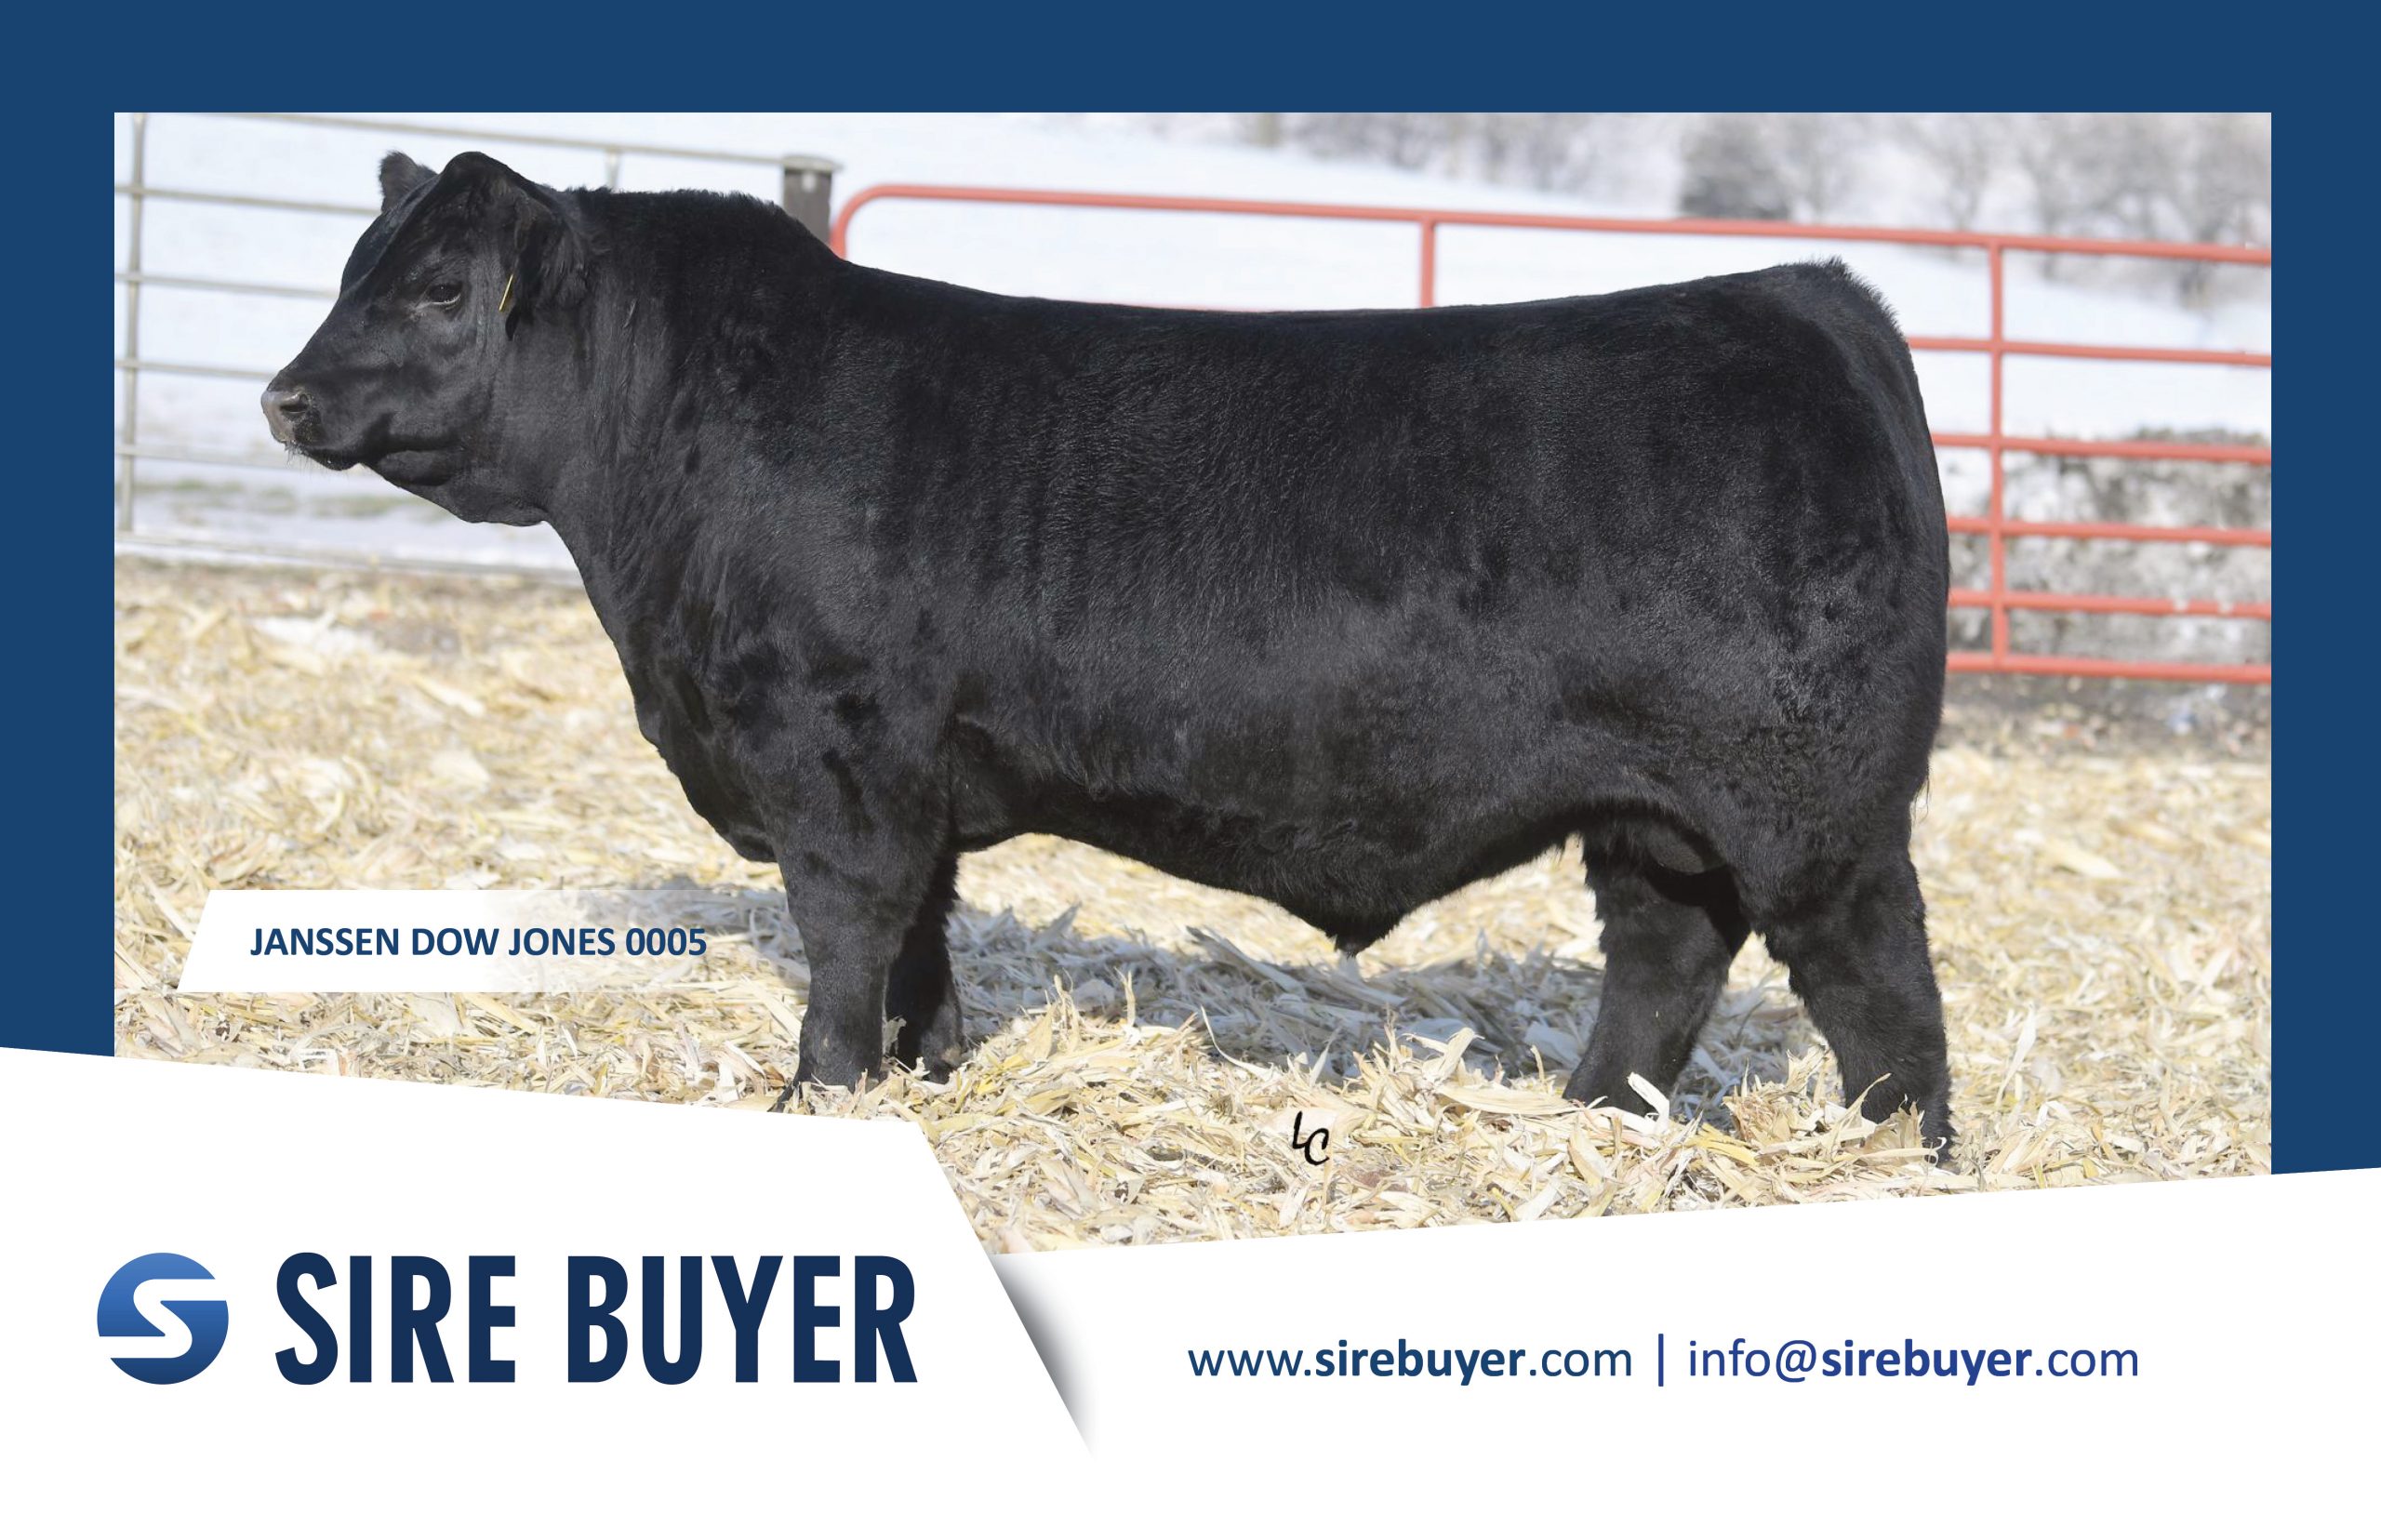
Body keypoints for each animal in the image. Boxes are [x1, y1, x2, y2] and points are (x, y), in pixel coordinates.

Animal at [265, 151, 1956, 1150]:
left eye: (437, 287)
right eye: (351, 266)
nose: (285, 399)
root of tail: (1809, 298)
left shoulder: (833, 764)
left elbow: (845, 939)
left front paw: (815, 1094)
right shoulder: (918, 784)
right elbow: (920, 949)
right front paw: (925, 1076)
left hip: (1817, 816)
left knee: (1883, 996)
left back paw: (1890, 1158)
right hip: (1656, 815)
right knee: (1664, 962)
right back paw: (1594, 1121)